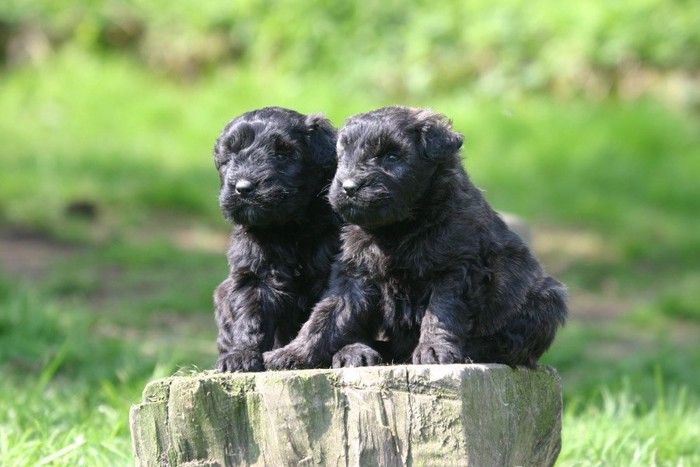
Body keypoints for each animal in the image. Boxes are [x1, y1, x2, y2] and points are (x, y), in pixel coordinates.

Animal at [213, 106, 340, 372]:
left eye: (282, 155)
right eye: (231, 156)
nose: (243, 188)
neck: (287, 228)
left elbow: (325, 319)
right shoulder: (254, 276)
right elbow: (250, 317)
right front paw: (241, 355)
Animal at [266, 105, 568, 370]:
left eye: (391, 157)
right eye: (343, 155)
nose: (349, 188)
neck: (398, 229)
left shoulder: (456, 270)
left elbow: (441, 312)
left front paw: (433, 350)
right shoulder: (354, 275)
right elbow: (325, 316)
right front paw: (292, 353)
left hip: (546, 298)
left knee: (510, 346)